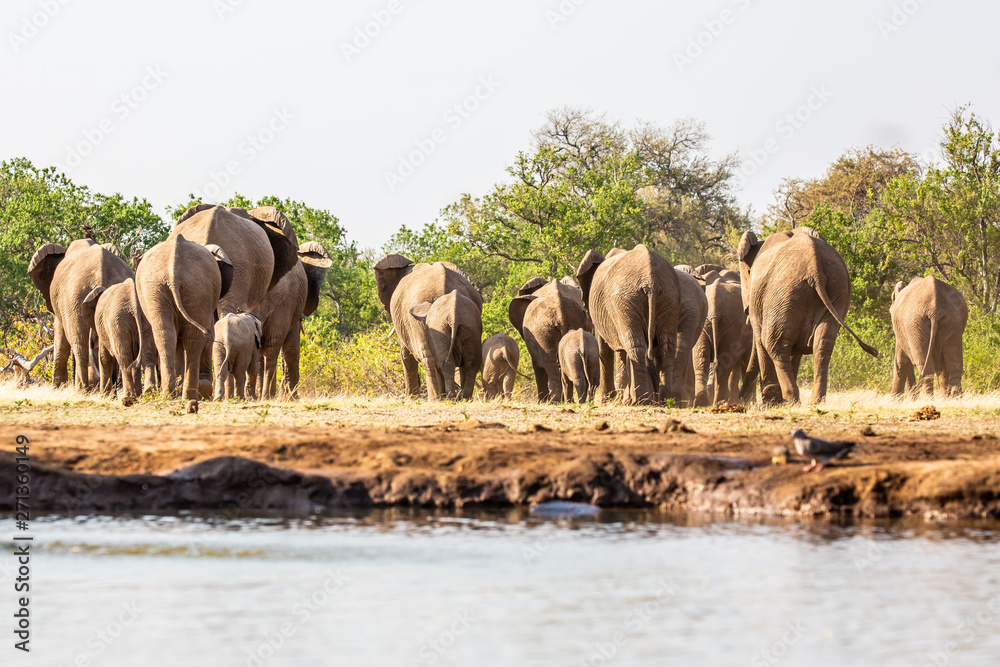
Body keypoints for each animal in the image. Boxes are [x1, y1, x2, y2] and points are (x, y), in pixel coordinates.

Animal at [28, 239, 135, 390]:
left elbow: (61, 339)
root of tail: (101, 276)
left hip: (74, 299)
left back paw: (82, 390)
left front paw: (57, 388)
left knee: (79, 345)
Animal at [135, 234, 233, 407]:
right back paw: (193, 394)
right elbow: (208, 335)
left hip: (173, 287)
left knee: (167, 334)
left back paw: (173, 395)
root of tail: (174, 269)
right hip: (188, 287)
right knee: (194, 336)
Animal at [374, 254, 482, 399]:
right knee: (469, 361)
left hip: (420, 322)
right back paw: (460, 397)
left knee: (429, 357)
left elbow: (406, 356)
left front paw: (410, 399)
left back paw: (437, 399)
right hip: (467, 321)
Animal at [576, 244, 680, 404]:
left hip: (626, 301)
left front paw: (608, 400)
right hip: (669, 297)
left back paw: (641, 400)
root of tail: (650, 282)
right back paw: (665, 400)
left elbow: (604, 350)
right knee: (665, 348)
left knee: (634, 346)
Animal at [737, 227, 878, 404]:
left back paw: (790, 401)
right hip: (836, 289)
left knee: (773, 342)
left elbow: (761, 341)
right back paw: (815, 402)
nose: (739, 399)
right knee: (822, 343)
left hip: (784, 292)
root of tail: (815, 268)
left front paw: (770, 402)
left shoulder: (758, 296)